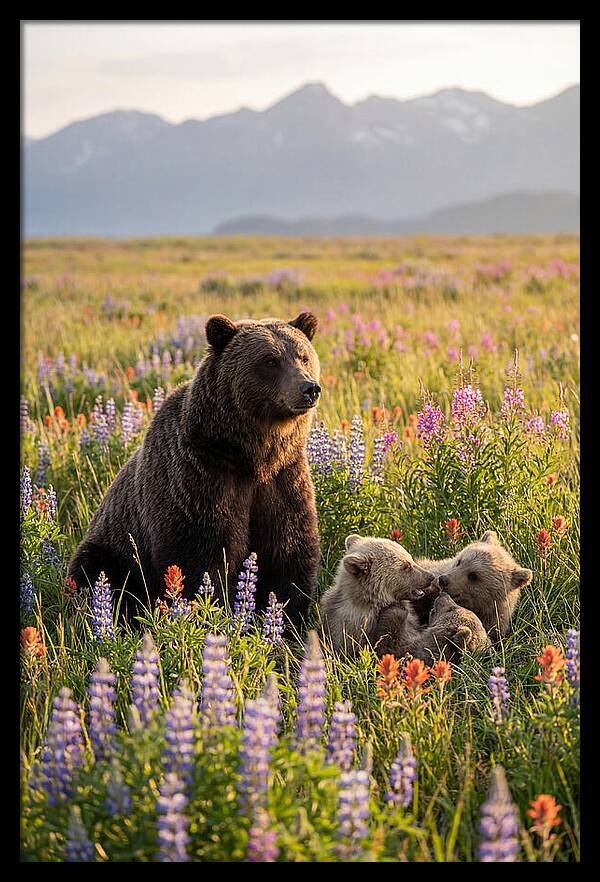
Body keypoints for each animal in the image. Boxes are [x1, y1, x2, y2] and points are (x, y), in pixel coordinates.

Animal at [68, 311, 322, 631]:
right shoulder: (200, 478)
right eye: (270, 361)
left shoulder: (284, 479)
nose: (309, 388)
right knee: (98, 574)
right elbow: (200, 556)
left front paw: (288, 623)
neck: (251, 455)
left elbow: (289, 552)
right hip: (113, 548)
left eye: (303, 356)